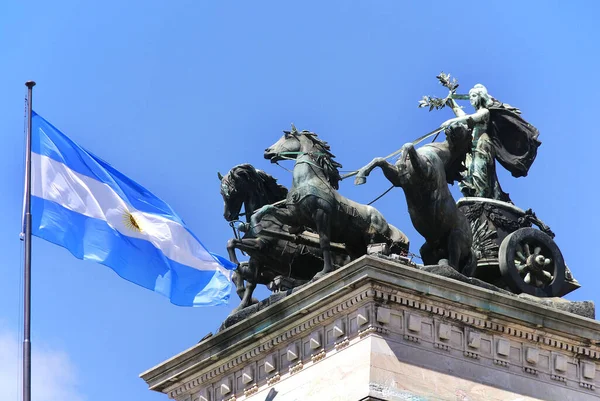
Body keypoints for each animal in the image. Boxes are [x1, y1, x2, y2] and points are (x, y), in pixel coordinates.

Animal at [251, 126, 410, 278]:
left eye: (287, 136)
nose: (267, 151)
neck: (308, 180)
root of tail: (386, 223)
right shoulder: (294, 216)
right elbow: (267, 208)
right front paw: (256, 225)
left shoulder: (321, 214)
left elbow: (324, 242)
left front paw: (324, 272)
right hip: (353, 244)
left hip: (373, 239)